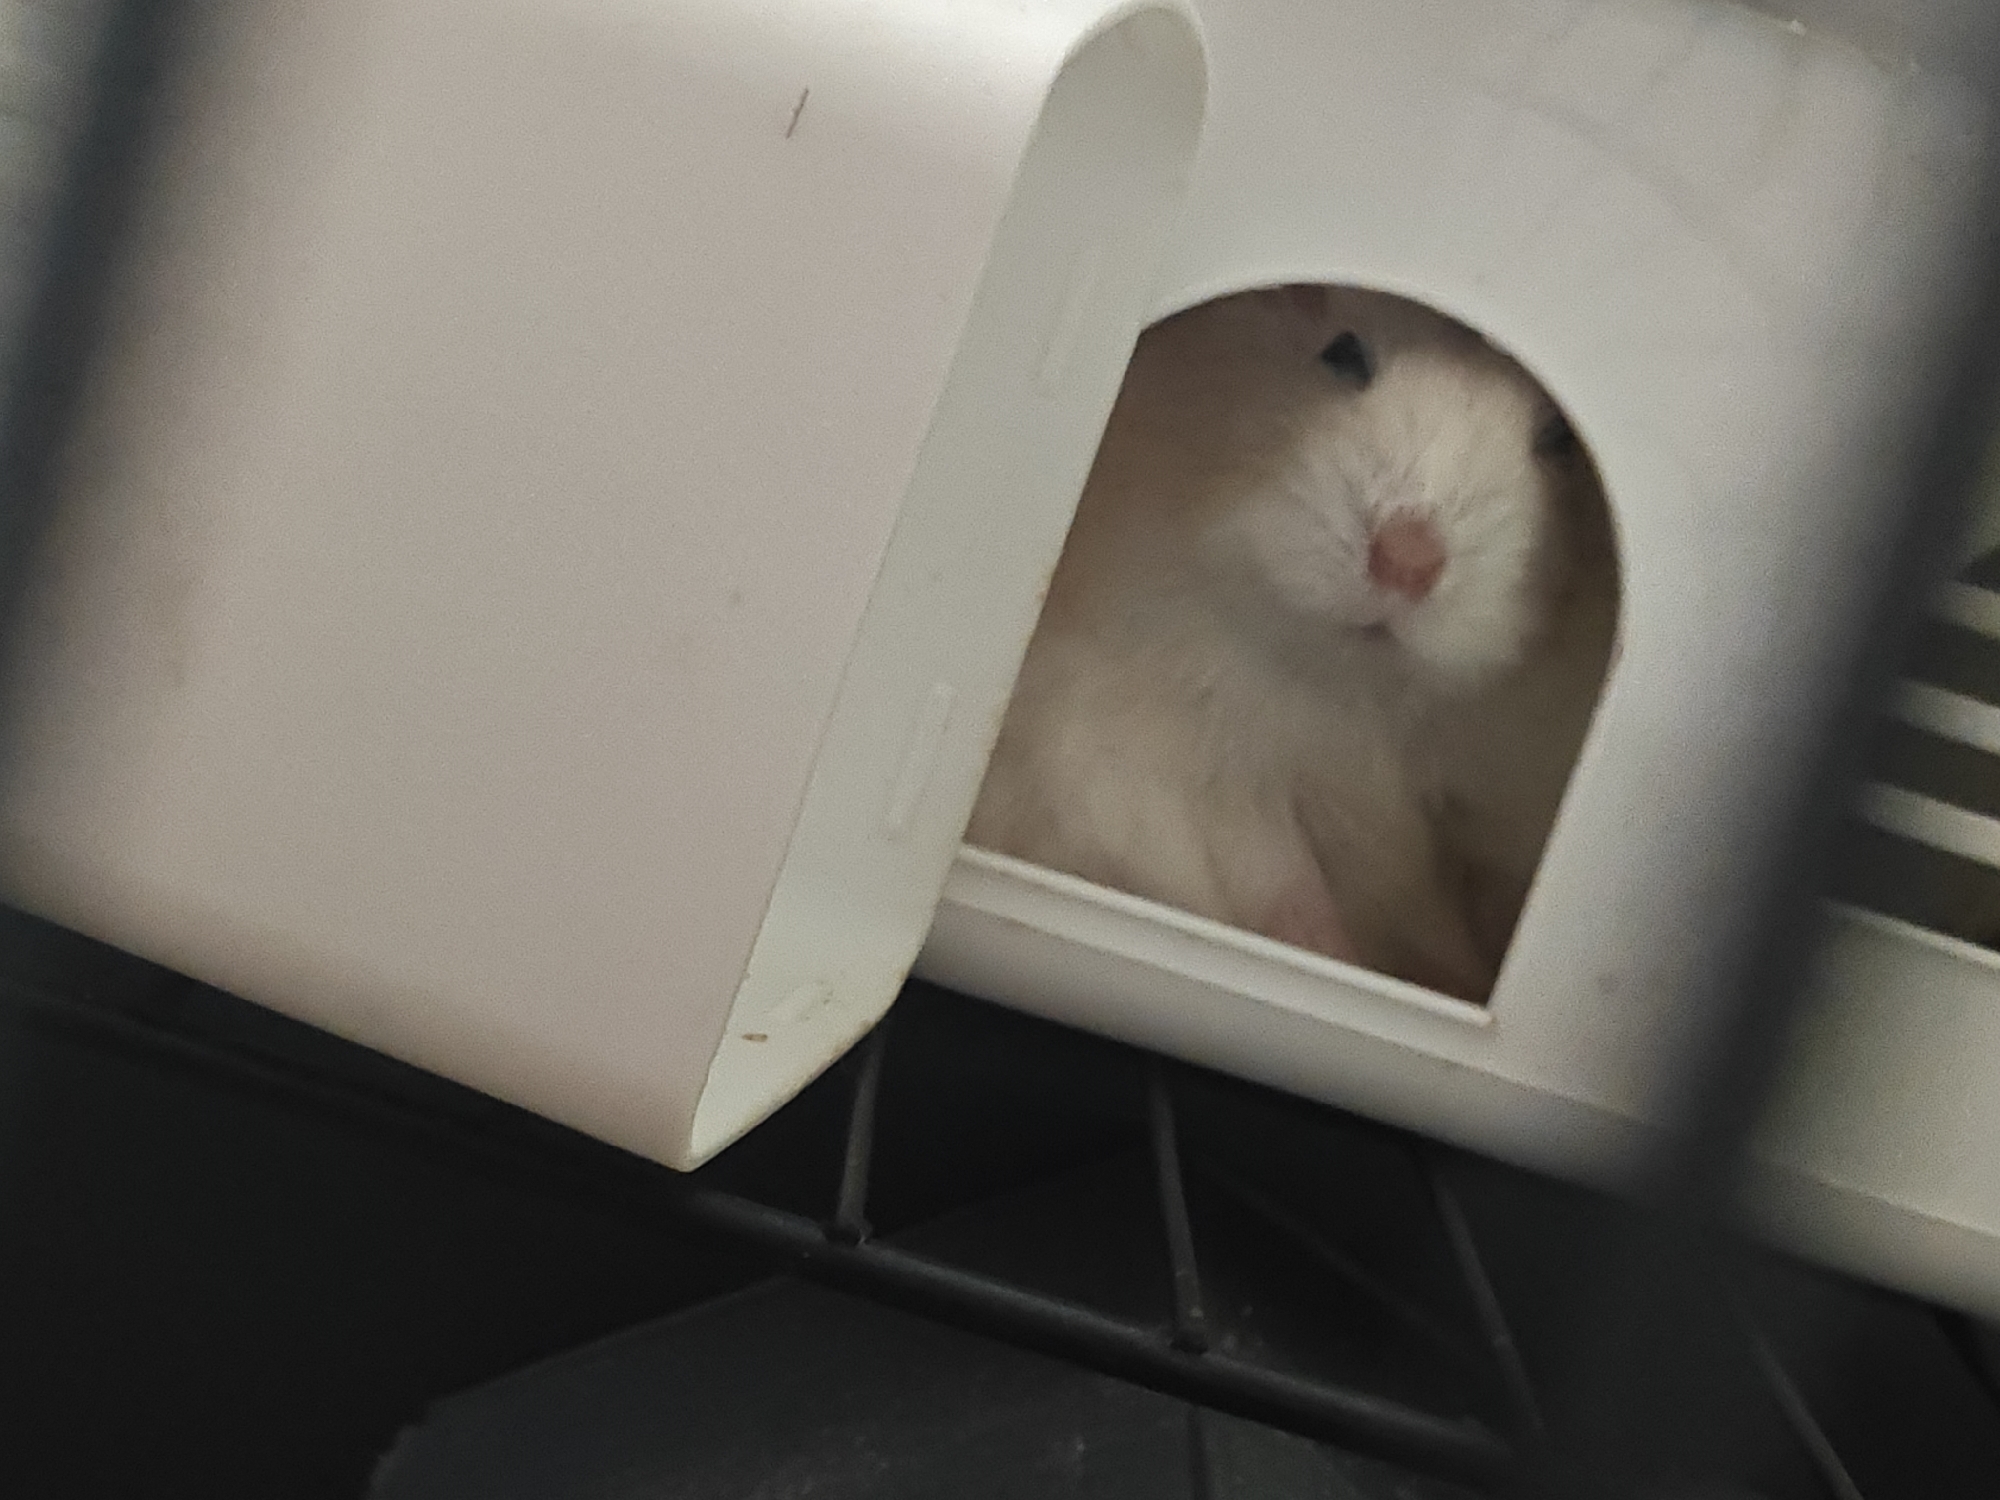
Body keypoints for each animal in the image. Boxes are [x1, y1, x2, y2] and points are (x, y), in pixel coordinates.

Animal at [966, 283, 1614, 1000]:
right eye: (1343, 355)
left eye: (1558, 438)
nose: (1407, 562)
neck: (1359, 691)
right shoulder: (1182, 773)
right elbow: (1282, 885)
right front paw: (1346, 963)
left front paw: (1456, 985)